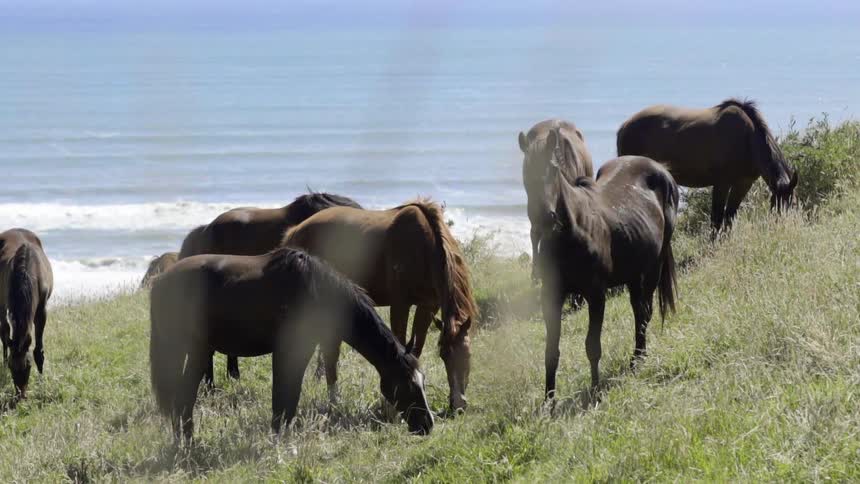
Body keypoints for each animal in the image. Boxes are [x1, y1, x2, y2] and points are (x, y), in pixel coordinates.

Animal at [0, 229, 53, 399]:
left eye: (28, 366)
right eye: (12, 366)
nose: (20, 395)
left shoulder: (42, 311)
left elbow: (38, 351)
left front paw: (42, 383)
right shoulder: (8, 306)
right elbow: (6, 335)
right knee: (4, 336)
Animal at [149, 247, 433, 442]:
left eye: (423, 381)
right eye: (408, 385)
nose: (428, 424)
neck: (315, 291)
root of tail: (161, 283)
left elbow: (290, 396)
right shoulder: (291, 349)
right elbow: (283, 395)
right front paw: (278, 439)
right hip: (190, 350)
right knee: (184, 397)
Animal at [282, 199, 477, 412]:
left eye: (468, 355)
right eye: (443, 355)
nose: (458, 404)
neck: (423, 246)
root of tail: (296, 230)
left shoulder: (428, 306)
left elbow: (417, 348)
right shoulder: (400, 304)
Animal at [537, 156, 679, 398]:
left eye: (554, 171)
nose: (545, 218)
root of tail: (660, 168)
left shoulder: (596, 295)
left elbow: (592, 346)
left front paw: (596, 392)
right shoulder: (552, 297)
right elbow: (551, 352)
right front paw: (548, 401)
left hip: (653, 268)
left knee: (645, 312)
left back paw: (638, 359)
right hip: (634, 274)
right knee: (639, 311)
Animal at [617, 98, 798, 233]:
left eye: (793, 203)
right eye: (777, 203)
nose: (783, 226)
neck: (747, 140)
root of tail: (624, 127)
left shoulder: (743, 184)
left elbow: (729, 216)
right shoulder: (721, 184)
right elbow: (716, 218)